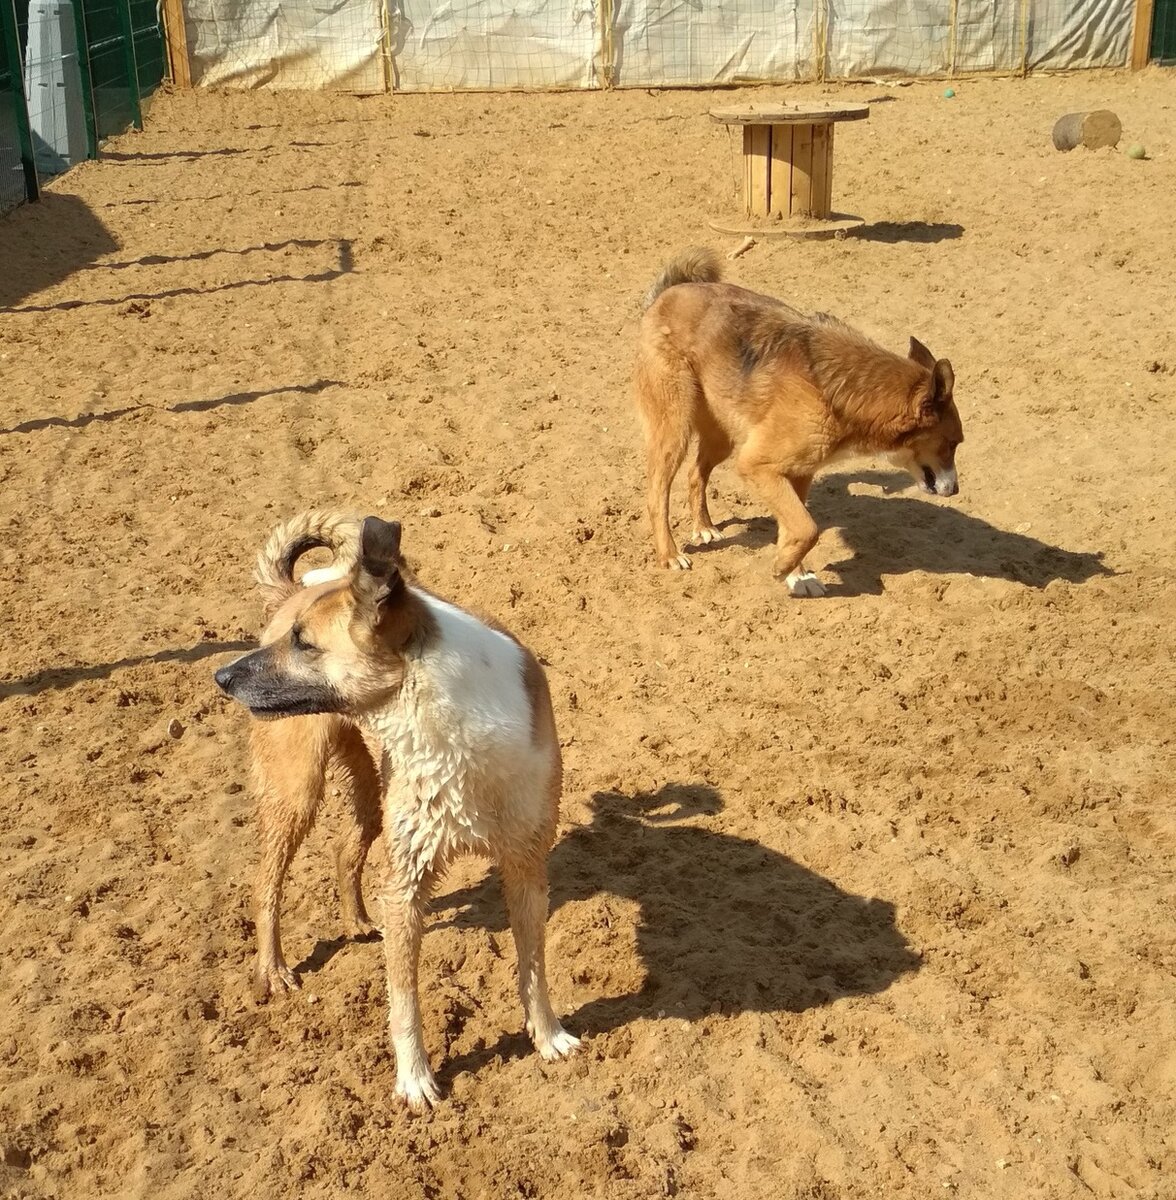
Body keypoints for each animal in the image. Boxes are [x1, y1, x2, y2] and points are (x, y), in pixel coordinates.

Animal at [216, 516, 578, 1104]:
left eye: (304, 643)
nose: (220, 678)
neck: (450, 731)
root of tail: (290, 593)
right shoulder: (409, 880)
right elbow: (405, 1000)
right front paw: (415, 1081)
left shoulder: (527, 867)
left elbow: (534, 967)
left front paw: (548, 1037)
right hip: (299, 790)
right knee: (266, 882)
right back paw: (272, 970)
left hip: (370, 797)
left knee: (345, 851)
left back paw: (359, 920)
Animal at [638, 248, 960, 595]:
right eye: (952, 444)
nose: (956, 490)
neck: (840, 392)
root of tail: (669, 294)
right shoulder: (756, 465)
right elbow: (808, 527)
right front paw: (782, 567)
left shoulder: (798, 473)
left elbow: (796, 525)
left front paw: (797, 574)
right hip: (675, 430)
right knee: (657, 496)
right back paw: (669, 554)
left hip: (721, 436)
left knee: (696, 474)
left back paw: (704, 527)